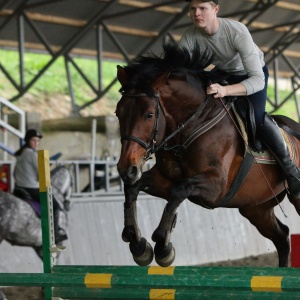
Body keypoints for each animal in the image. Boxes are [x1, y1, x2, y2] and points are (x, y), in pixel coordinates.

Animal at [115, 42, 300, 268]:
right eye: (118, 112)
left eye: (149, 115)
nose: (127, 169)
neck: (193, 124)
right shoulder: (164, 180)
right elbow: (135, 188)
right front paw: (138, 244)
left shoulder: (216, 187)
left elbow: (179, 190)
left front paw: (163, 246)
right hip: (256, 208)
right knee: (281, 237)